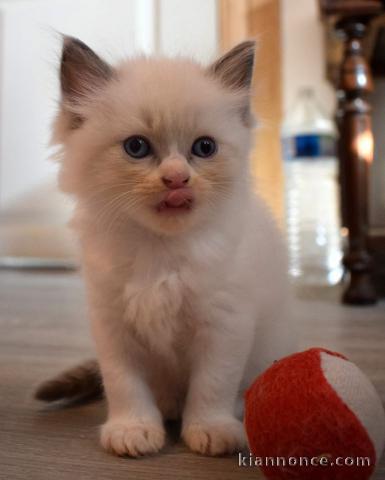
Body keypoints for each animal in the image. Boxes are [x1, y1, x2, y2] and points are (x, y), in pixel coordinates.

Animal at [36, 37, 294, 458]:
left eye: (204, 147)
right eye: (136, 147)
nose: (177, 178)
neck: (160, 252)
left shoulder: (225, 325)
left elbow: (213, 385)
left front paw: (210, 430)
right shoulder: (113, 326)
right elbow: (124, 385)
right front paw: (134, 430)